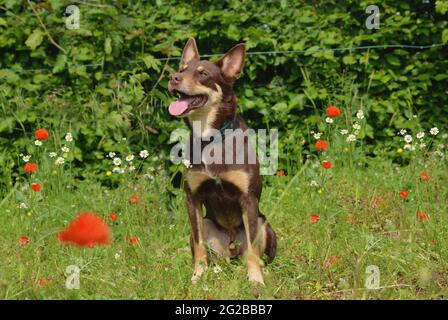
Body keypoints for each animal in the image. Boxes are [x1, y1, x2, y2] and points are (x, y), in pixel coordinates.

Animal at [167, 38, 274, 284]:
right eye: (181, 70)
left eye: (203, 73)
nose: (174, 78)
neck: (210, 138)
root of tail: (232, 249)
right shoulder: (192, 198)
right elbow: (199, 245)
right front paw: (197, 277)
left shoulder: (248, 199)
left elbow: (253, 248)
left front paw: (256, 280)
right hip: (209, 228)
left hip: (264, 223)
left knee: (258, 253)